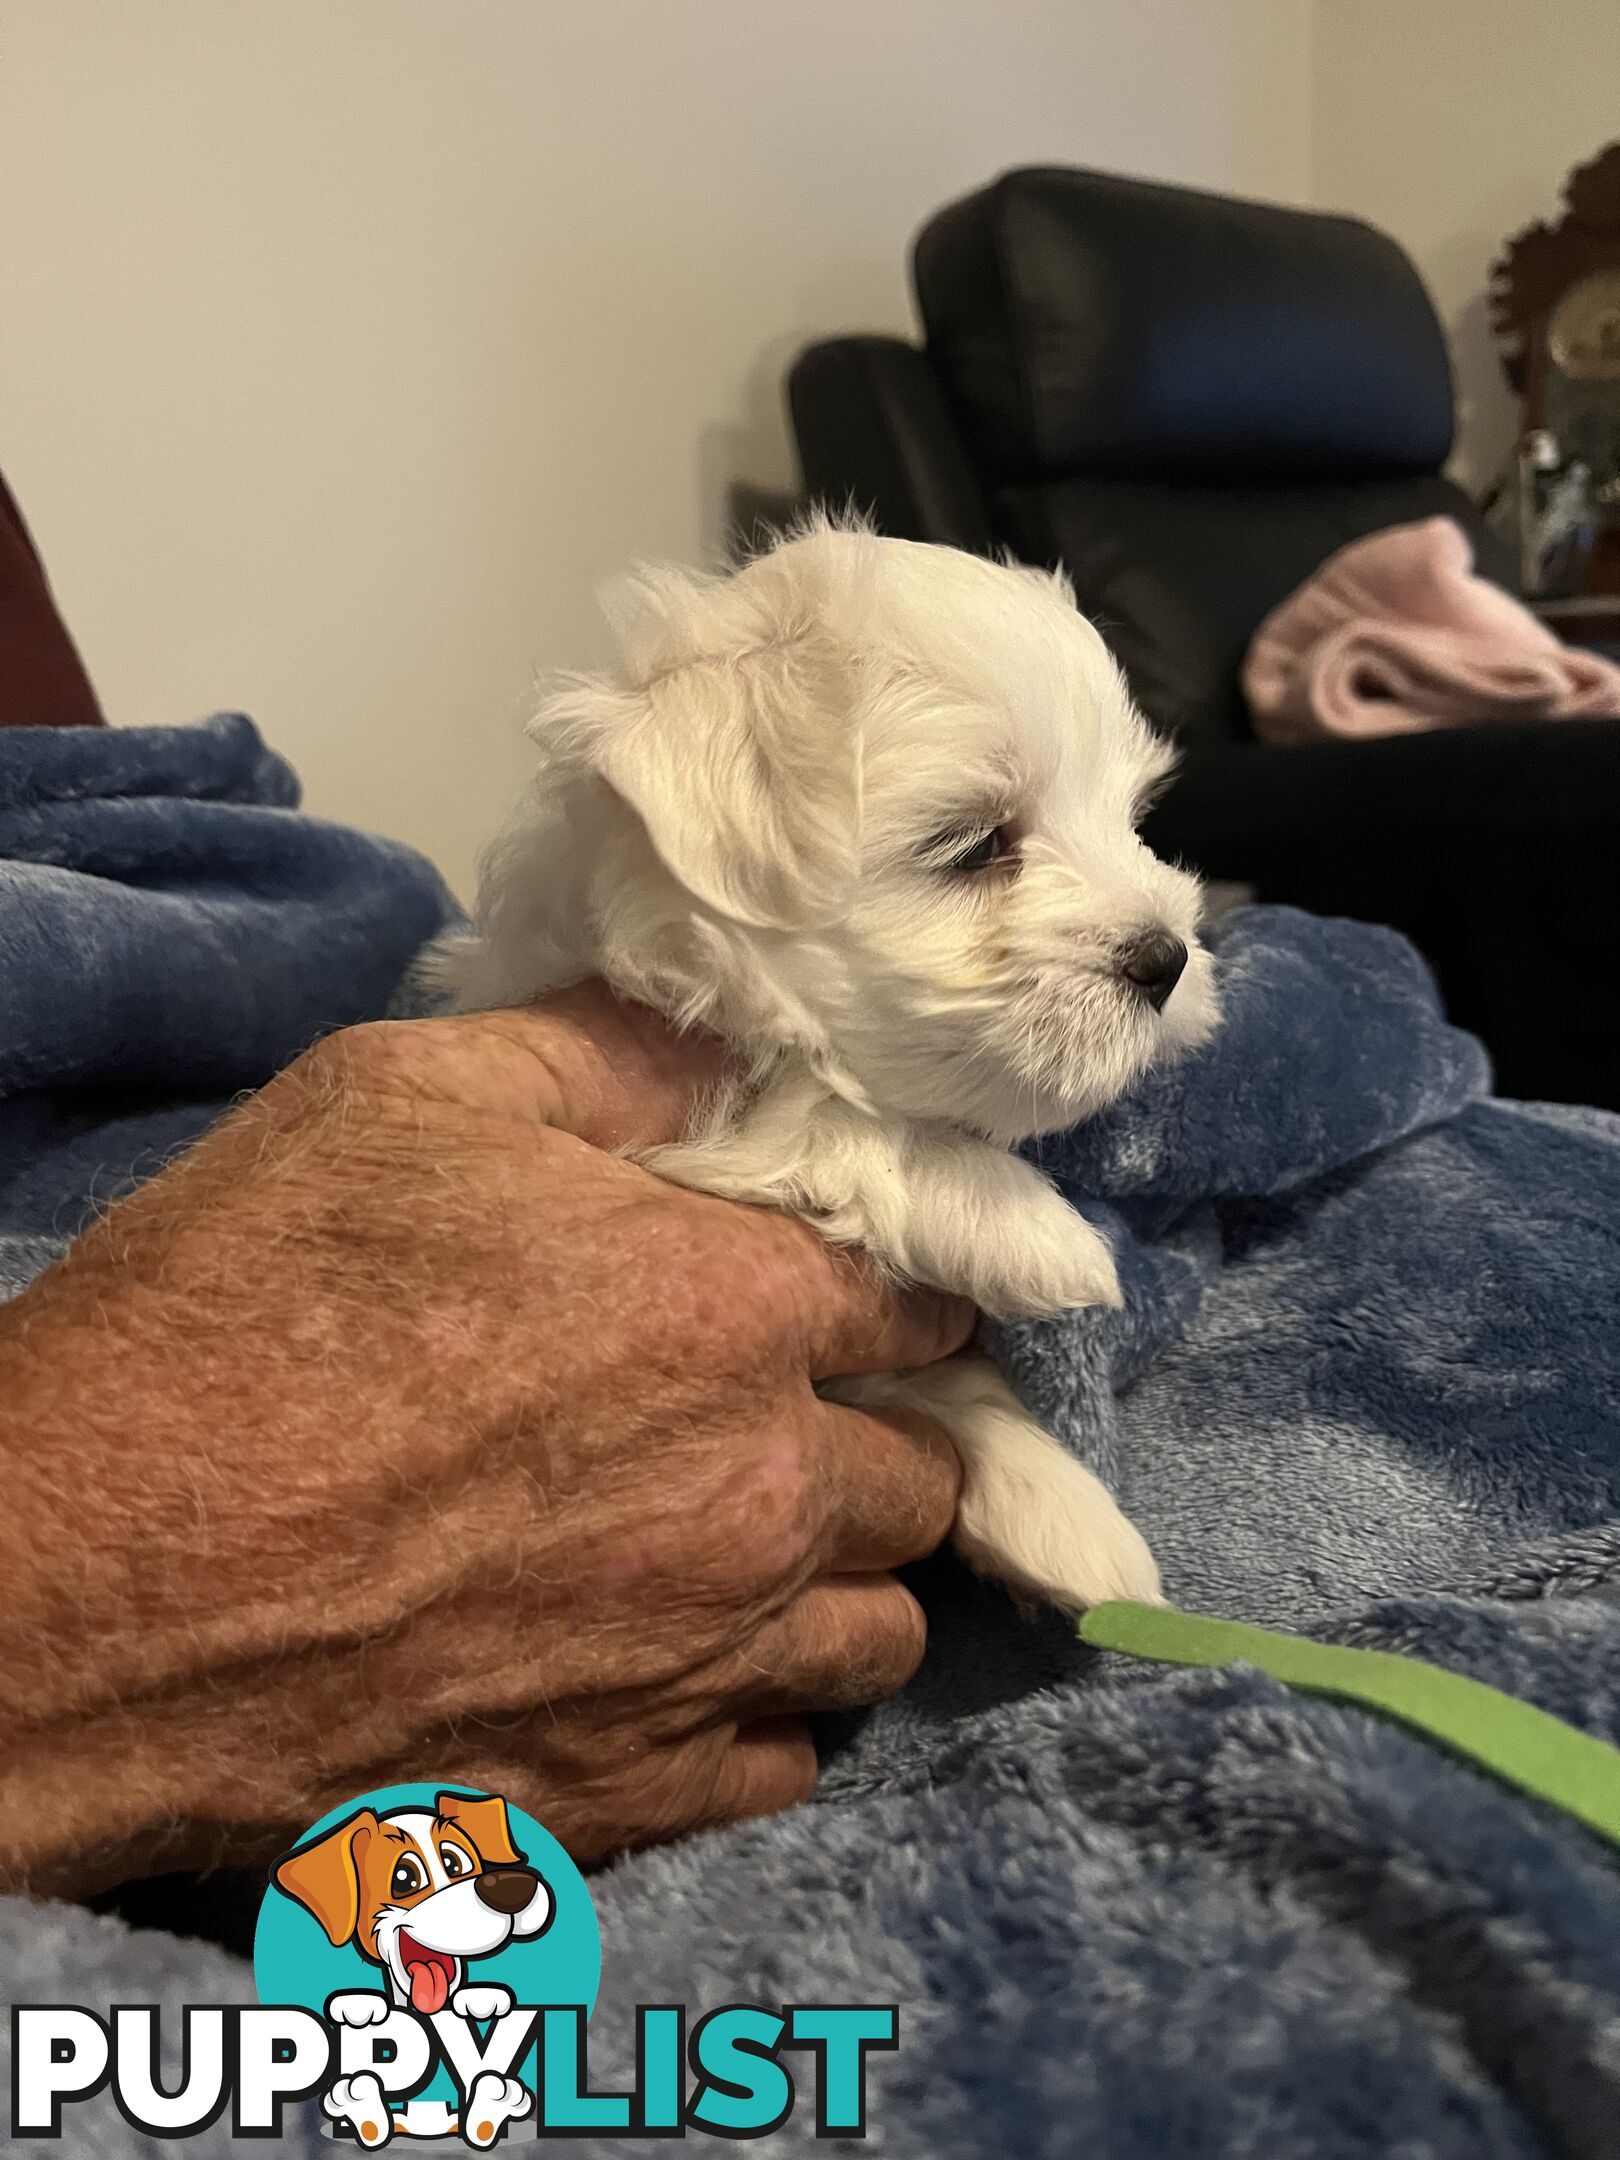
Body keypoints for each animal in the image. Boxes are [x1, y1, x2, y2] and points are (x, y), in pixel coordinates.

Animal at [432, 518, 1218, 1607]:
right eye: (973, 844)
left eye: (1132, 819)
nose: (1167, 959)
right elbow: (827, 1115)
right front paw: (1025, 1224)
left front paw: (1059, 1509)